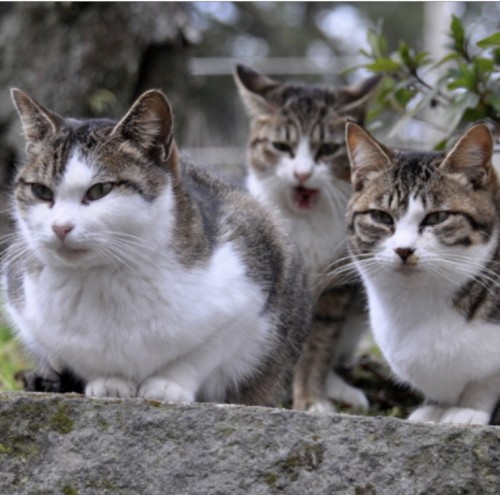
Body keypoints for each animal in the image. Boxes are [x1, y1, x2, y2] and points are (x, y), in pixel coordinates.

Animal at [0, 87, 312, 408]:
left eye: (100, 190)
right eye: (41, 191)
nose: (60, 227)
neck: (106, 279)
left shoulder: (254, 279)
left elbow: (204, 351)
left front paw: (167, 385)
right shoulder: (22, 302)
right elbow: (79, 355)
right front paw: (109, 380)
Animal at [233, 65, 378, 414]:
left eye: (327, 148)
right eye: (280, 146)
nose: (302, 174)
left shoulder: (335, 285)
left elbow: (318, 346)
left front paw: (313, 399)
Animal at [346, 121, 500, 426]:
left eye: (437, 217)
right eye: (381, 216)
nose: (404, 250)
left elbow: (487, 379)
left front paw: (469, 409)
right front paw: (436, 407)